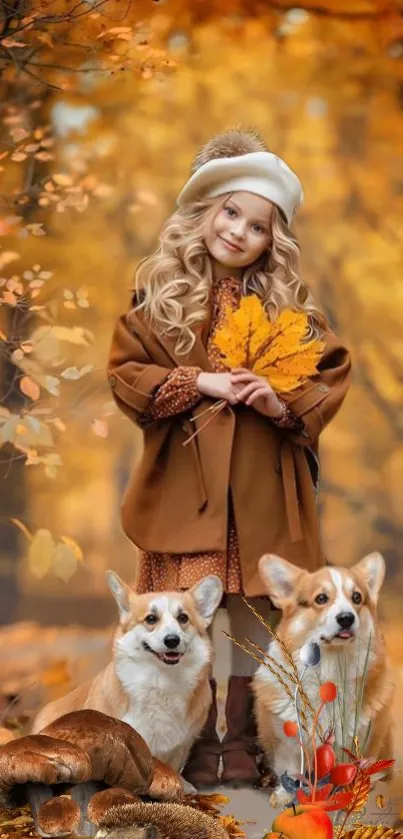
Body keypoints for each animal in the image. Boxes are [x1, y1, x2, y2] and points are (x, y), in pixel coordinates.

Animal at [252, 552, 394, 808]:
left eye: (357, 597)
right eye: (321, 598)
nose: (346, 618)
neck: (331, 670)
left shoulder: (365, 737)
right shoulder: (286, 740)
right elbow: (289, 766)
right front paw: (285, 794)